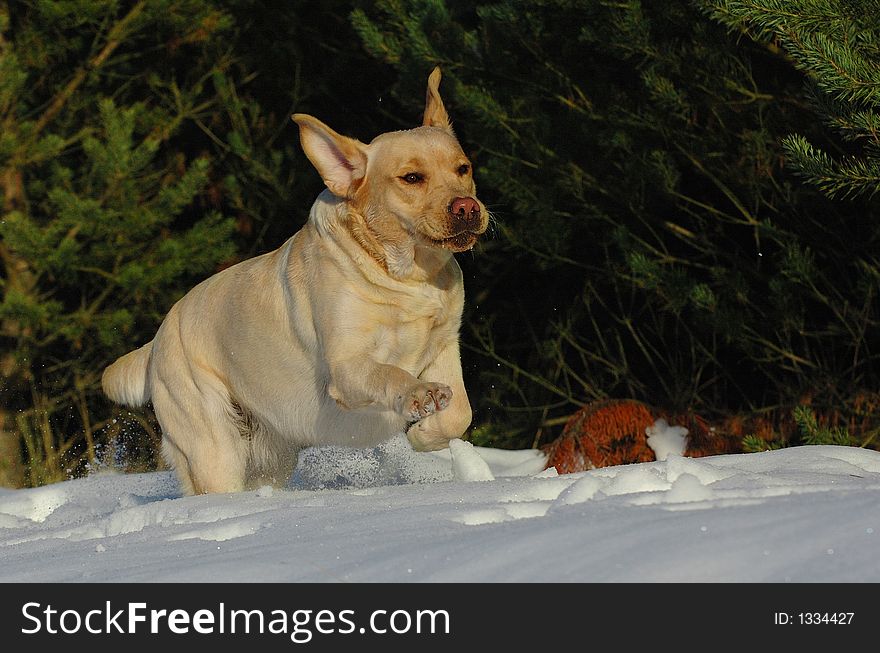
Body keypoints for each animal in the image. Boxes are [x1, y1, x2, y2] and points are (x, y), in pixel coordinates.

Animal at [104, 67, 492, 494]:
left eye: (463, 169)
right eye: (411, 177)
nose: (467, 208)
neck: (406, 275)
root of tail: (155, 342)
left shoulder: (444, 345)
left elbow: (460, 412)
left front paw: (424, 434)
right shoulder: (347, 364)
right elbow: (389, 373)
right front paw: (419, 396)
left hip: (270, 452)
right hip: (212, 443)